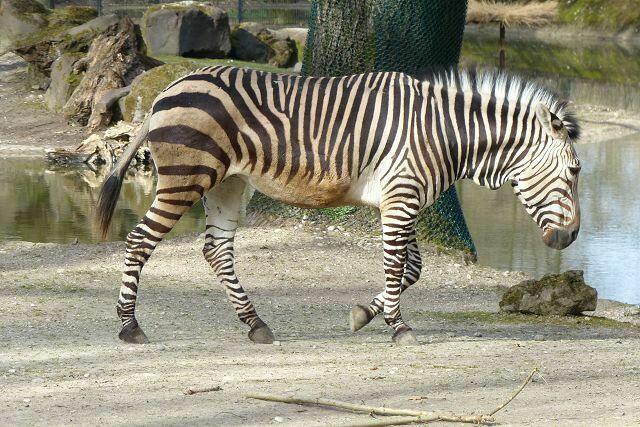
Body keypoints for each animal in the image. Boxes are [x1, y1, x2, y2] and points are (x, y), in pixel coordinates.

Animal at [96, 65, 581, 346]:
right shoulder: (401, 197)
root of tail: (168, 88)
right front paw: (398, 327)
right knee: (139, 241)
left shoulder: (401, 199)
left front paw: (365, 314)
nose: (572, 236)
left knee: (217, 251)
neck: (443, 133)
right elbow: (396, 265)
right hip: (187, 178)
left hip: (229, 185)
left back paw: (256, 324)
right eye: (575, 172)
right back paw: (129, 326)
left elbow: (411, 268)